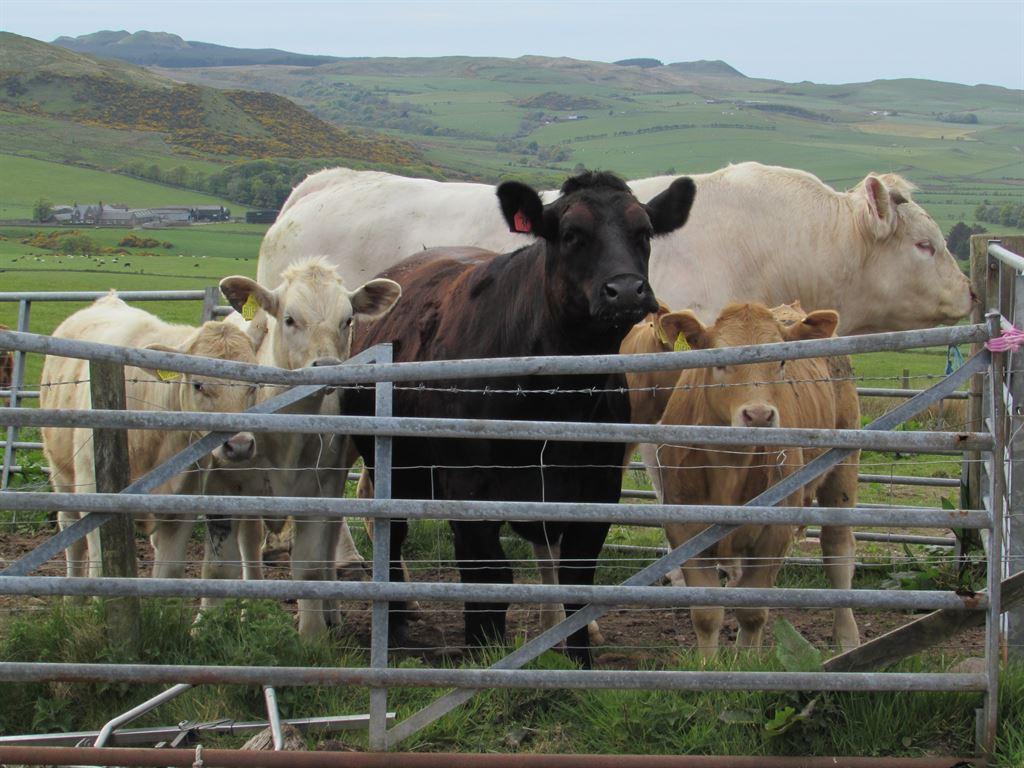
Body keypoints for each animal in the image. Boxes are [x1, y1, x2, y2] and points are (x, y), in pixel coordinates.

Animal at [40, 294, 261, 579]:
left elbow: (168, 570)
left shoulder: (181, 506)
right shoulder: (94, 498)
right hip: (61, 476)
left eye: (254, 386)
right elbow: (100, 568)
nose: (240, 446)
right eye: (198, 384)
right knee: (73, 542)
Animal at [218, 257, 402, 639]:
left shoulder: (321, 489)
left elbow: (310, 565)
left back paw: (331, 613)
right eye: (290, 319)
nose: (328, 368)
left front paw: (313, 635)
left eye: (347, 320)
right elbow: (246, 556)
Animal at [347, 171, 697, 668]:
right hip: (387, 465)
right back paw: (395, 622)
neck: (558, 399)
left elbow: (577, 580)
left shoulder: (598, 486)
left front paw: (580, 662)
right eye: (571, 234)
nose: (627, 289)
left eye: (644, 232)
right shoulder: (469, 489)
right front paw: (482, 657)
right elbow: (490, 577)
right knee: (392, 534)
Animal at [648, 302, 860, 655]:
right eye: (719, 361)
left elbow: (751, 610)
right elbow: (706, 613)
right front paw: (709, 663)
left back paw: (847, 637)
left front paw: (747, 660)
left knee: (838, 549)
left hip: (843, 468)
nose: (759, 415)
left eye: (782, 361)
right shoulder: (684, 529)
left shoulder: (774, 533)